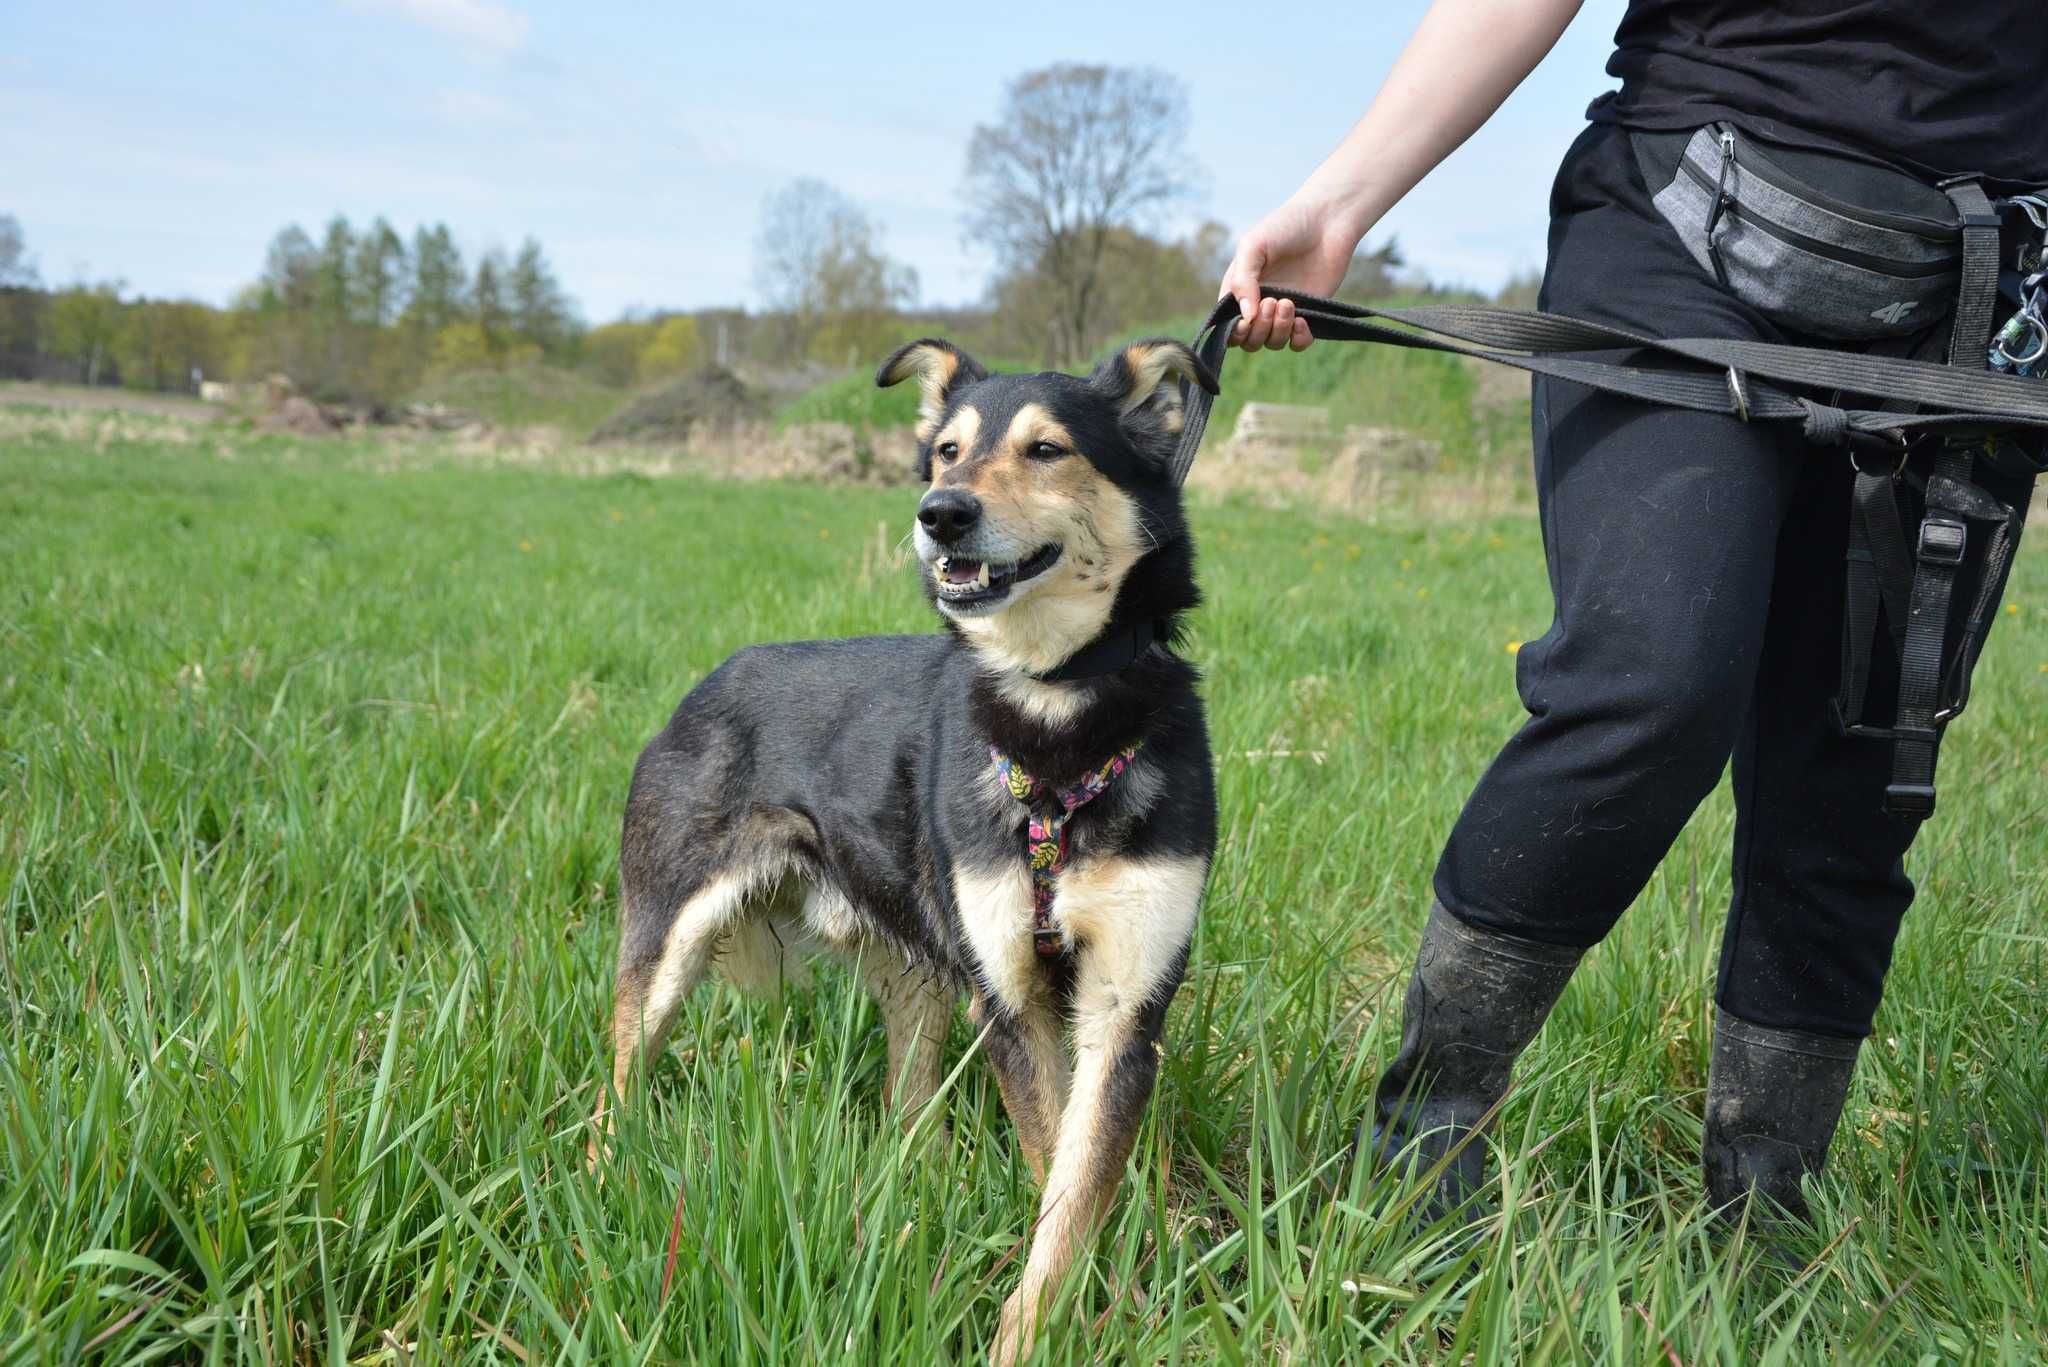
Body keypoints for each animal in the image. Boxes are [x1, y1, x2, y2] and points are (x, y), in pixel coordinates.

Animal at [593, 332, 1220, 1360]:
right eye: (948, 452)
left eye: (1048, 449)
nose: (941, 513)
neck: (1053, 718)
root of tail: (705, 682)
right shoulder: (1013, 999)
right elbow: (1057, 1172)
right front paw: (1045, 1329)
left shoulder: (1124, 1002)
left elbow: (1078, 1175)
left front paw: (1076, 1310)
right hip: (667, 945)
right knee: (618, 1080)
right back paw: (606, 1177)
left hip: (919, 973)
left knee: (905, 1105)